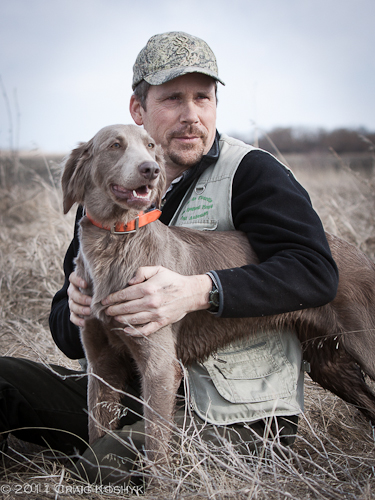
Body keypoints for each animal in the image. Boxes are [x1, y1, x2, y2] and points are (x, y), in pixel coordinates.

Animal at [62, 124, 375, 460]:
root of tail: (361, 254)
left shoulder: (159, 368)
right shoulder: (101, 365)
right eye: (115, 145)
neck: (116, 238)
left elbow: (155, 451)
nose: (151, 169)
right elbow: (95, 435)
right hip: (329, 362)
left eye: (150, 146)